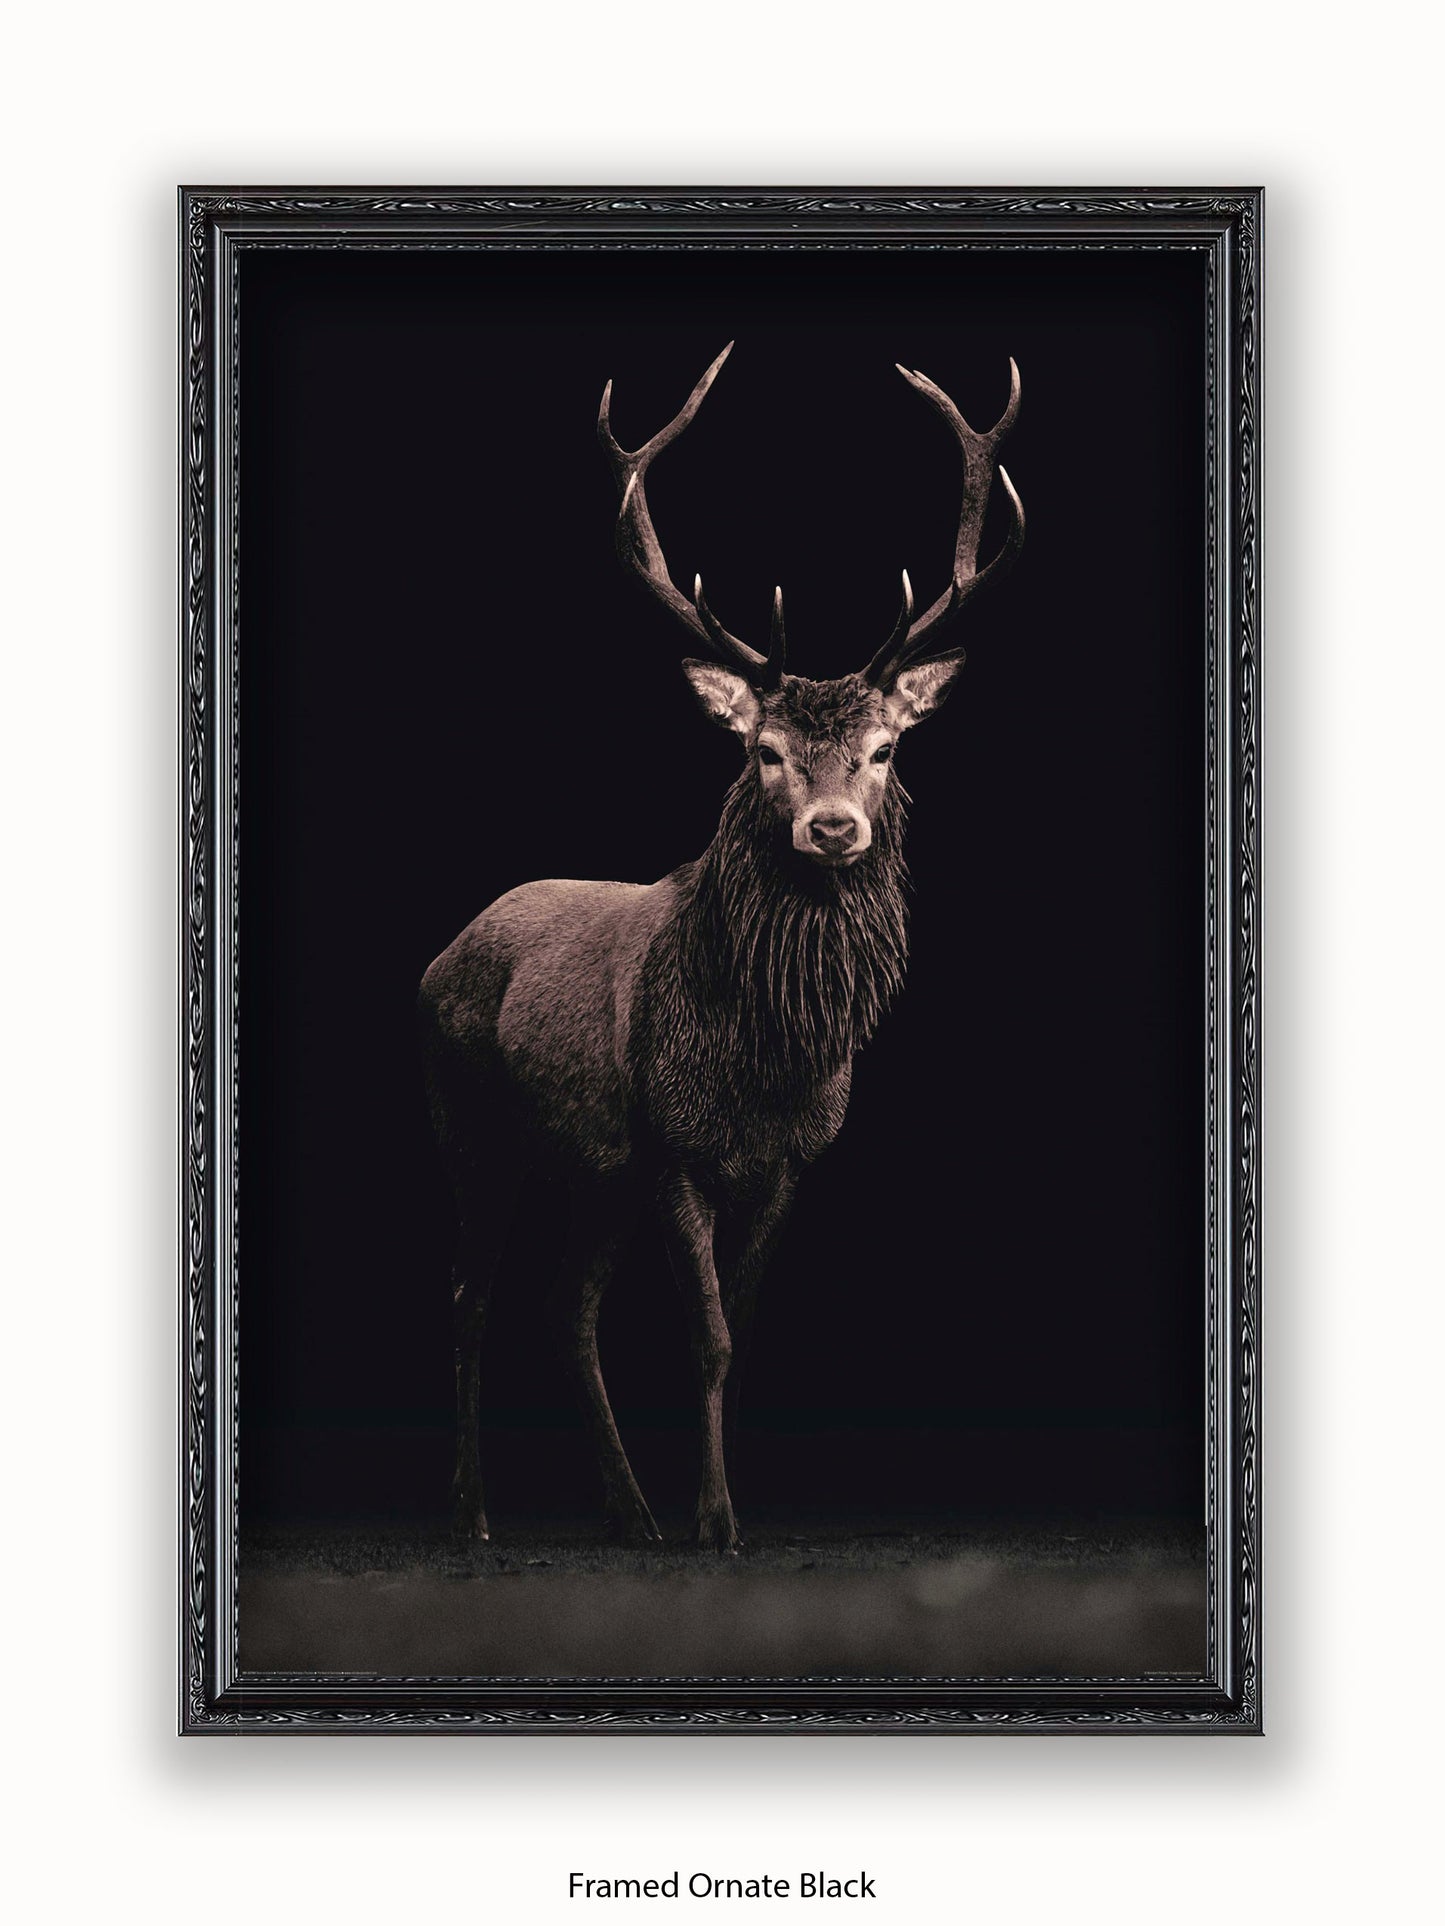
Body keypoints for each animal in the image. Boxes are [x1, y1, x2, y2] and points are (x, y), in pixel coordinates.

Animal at [418, 342, 1024, 1552]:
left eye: (884, 749)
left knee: (565, 1304)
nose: (831, 829)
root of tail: (438, 957)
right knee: (471, 1295)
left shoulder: (785, 1163)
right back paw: (475, 1512)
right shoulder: (673, 1148)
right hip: (473, 1121)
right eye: (764, 751)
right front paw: (714, 1519)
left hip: (592, 1165)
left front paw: (718, 1501)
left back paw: (627, 1509)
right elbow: (703, 1334)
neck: (764, 1064)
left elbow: (739, 1341)